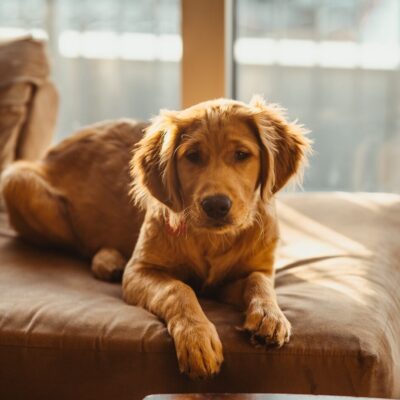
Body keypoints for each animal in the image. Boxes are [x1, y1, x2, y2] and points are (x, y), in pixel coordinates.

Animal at [0, 96, 310, 378]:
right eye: (193, 155)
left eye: (242, 155)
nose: (216, 206)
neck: (212, 239)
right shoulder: (139, 270)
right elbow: (178, 290)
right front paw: (197, 340)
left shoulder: (241, 275)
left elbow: (259, 282)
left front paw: (270, 316)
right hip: (18, 182)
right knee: (80, 246)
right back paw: (108, 260)